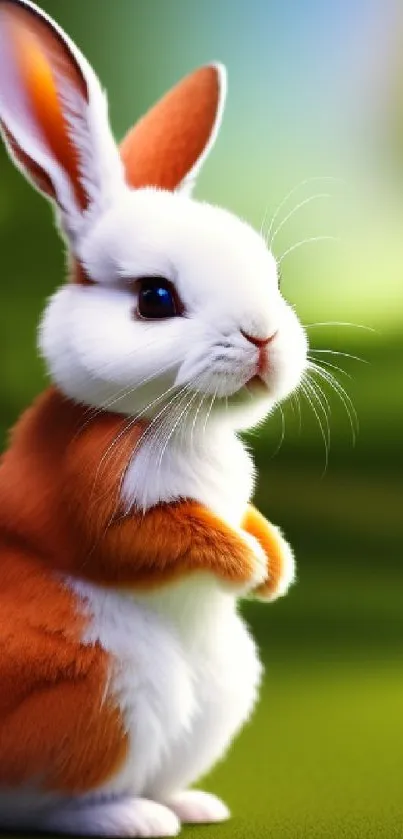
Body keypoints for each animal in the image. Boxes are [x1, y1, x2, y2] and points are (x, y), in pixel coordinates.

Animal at [0, 0, 306, 836]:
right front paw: (243, 562)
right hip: (105, 692)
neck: (187, 423)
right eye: (155, 298)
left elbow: (248, 515)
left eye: (271, 278)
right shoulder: (96, 492)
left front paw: (274, 564)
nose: (263, 336)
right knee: (38, 800)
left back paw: (191, 801)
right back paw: (129, 816)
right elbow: (152, 536)